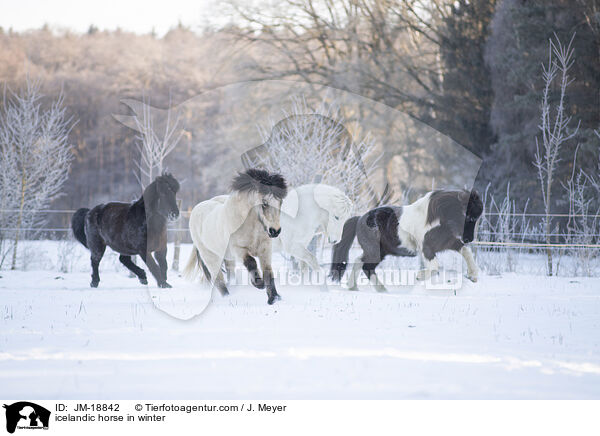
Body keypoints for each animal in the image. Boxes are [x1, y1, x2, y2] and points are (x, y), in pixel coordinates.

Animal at [182, 169, 288, 304]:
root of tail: (196, 209)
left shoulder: (265, 249)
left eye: (281, 202)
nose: (275, 231)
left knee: (230, 275)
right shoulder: (238, 249)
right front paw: (258, 284)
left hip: (228, 259)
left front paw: (274, 299)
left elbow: (268, 272)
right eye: (264, 203)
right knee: (219, 280)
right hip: (211, 257)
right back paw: (228, 298)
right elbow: (251, 262)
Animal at [330, 189, 486, 292]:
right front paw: (419, 276)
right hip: (375, 251)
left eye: (476, 217)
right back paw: (379, 290)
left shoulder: (449, 243)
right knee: (366, 266)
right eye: (467, 215)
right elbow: (435, 267)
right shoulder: (427, 248)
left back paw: (356, 288)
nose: (468, 238)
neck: (436, 220)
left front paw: (473, 276)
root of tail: (360, 219)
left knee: (360, 262)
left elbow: (466, 251)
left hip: (380, 251)